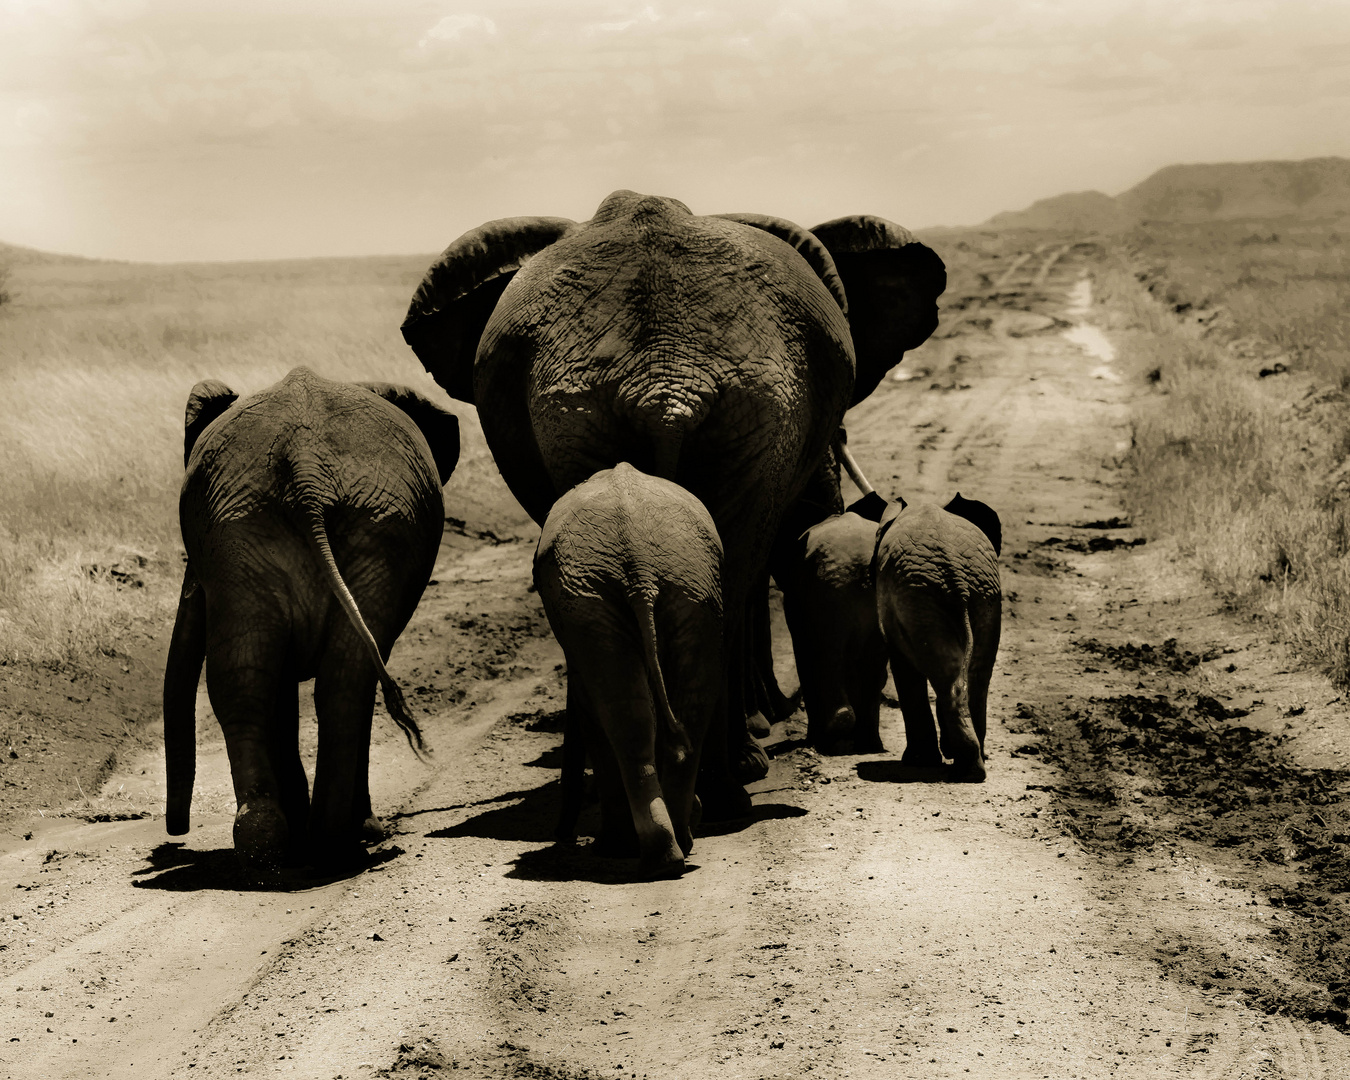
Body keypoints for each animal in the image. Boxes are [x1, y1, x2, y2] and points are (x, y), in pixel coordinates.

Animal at [159, 367, 459, 874]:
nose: (174, 836)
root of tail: (305, 469)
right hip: (352, 523)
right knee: (342, 681)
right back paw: (332, 841)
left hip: (249, 527)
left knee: (252, 678)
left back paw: (271, 844)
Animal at [534, 464, 729, 874]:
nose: (562, 836)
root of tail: (640, 567)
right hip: (687, 588)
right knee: (682, 705)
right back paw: (673, 852)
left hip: (610, 597)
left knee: (628, 716)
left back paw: (648, 852)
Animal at [874, 494, 1004, 783]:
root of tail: (957, 574)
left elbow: (902, 666)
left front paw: (918, 762)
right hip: (982, 595)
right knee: (975, 675)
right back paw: (973, 766)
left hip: (920, 598)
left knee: (949, 677)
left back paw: (962, 769)